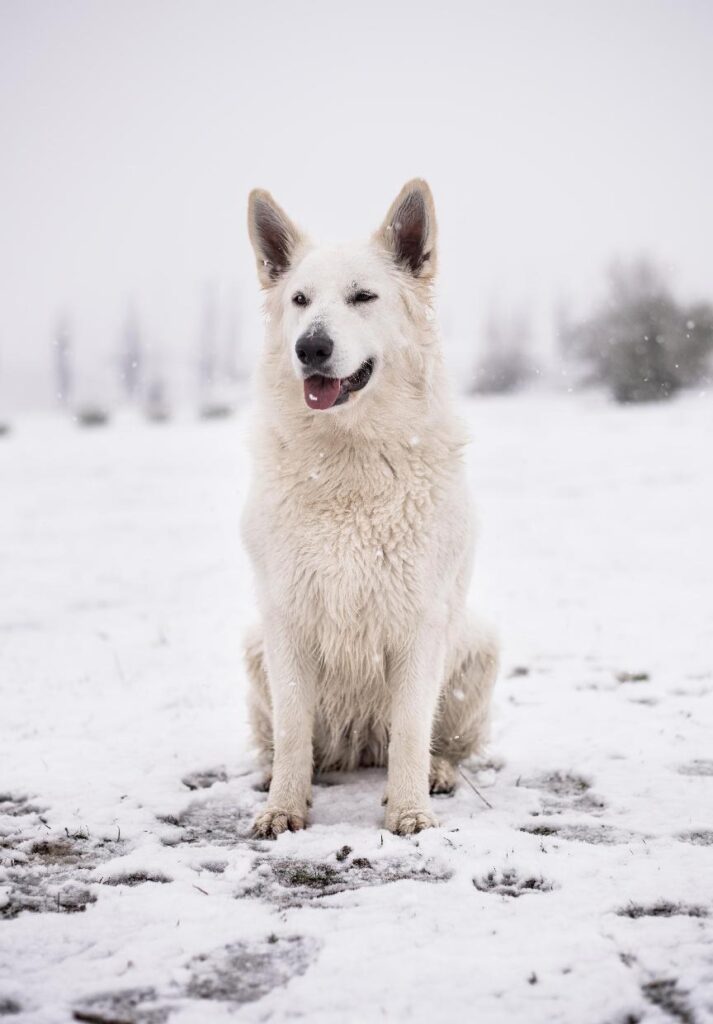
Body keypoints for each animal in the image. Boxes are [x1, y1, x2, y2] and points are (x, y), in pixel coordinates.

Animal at [242, 180, 497, 835]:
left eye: (363, 297)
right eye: (300, 300)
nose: (311, 346)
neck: (349, 458)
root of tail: (357, 748)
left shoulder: (419, 623)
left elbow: (410, 729)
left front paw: (410, 812)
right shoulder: (286, 618)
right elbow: (292, 731)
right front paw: (282, 808)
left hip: (479, 643)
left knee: (437, 742)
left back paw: (438, 774)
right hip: (253, 643)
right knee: (289, 741)